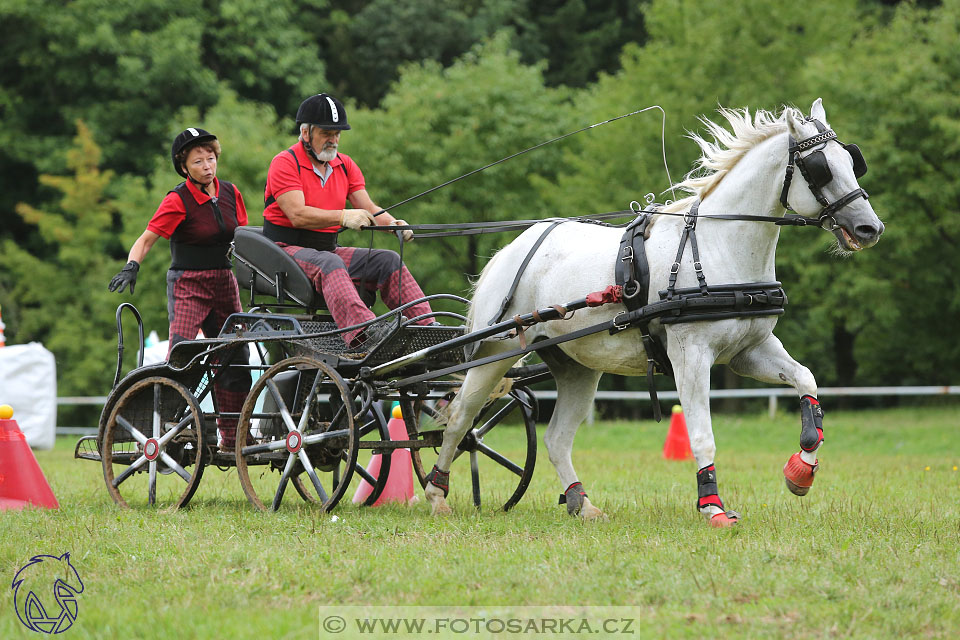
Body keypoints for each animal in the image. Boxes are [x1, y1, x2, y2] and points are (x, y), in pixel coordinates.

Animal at [428, 99, 884, 524]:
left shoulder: (748, 351)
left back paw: (582, 503)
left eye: (852, 161)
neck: (717, 248)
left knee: (556, 438)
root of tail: (510, 249)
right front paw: (712, 507)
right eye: (820, 168)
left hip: (577, 366)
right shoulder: (691, 356)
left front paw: (801, 471)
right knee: (460, 419)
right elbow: (701, 435)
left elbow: (806, 382)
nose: (870, 228)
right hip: (494, 354)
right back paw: (436, 494)